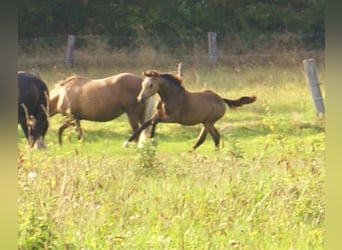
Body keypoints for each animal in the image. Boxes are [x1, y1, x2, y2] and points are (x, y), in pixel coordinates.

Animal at [123, 69, 256, 149]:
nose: (140, 99)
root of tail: (221, 99)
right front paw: (127, 142)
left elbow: (154, 122)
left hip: (209, 122)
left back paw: (189, 152)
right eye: (142, 84)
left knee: (202, 139)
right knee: (216, 137)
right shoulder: (157, 114)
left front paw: (151, 139)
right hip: (206, 122)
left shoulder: (173, 118)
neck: (170, 97)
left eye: (151, 85)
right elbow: (144, 124)